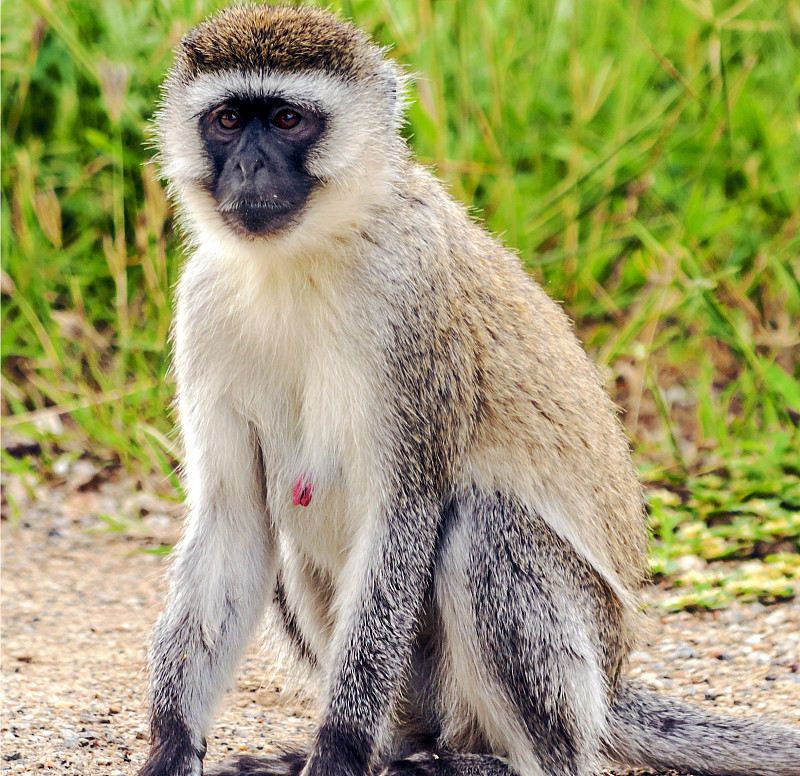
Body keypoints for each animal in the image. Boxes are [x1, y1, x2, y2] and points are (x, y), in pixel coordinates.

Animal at [139, 6, 800, 776]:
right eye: (226, 119)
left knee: (484, 525)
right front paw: (173, 743)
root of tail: (614, 684)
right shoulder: (202, 307)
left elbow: (405, 511)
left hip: (576, 651)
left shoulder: (412, 309)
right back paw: (399, 747)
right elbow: (235, 522)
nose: (247, 165)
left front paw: (338, 751)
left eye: (286, 119)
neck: (303, 256)